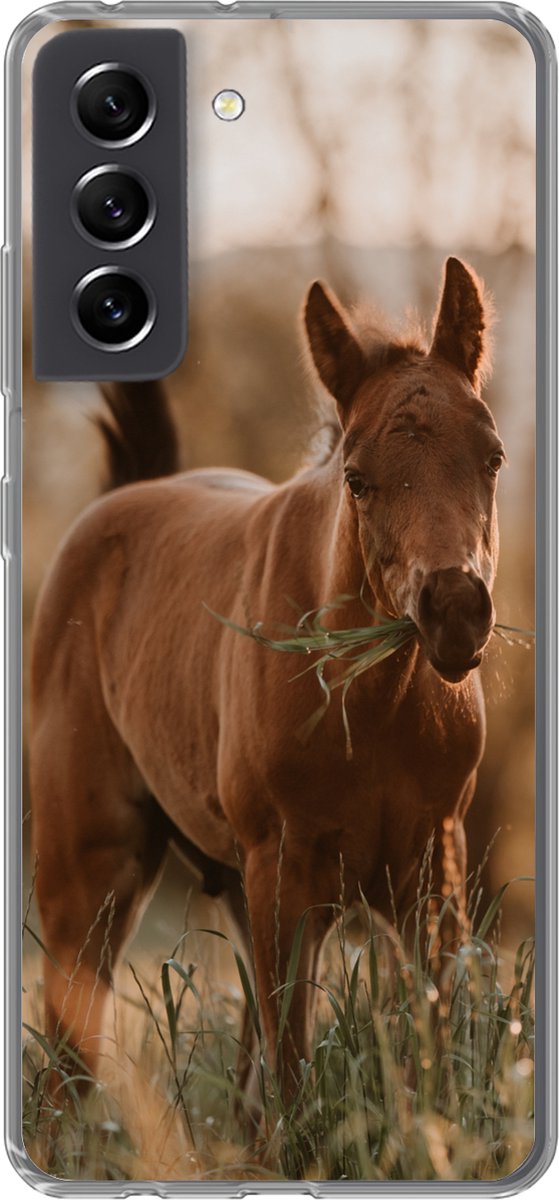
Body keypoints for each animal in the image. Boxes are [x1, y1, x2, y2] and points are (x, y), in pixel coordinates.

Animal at [31, 256, 503, 1107]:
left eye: (492, 457)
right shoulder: (286, 874)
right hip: (89, 876)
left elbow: (430, 1056)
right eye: (356, 479)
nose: (454, 611)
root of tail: (120, 499)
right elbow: (292, 1077)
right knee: (66, 1071)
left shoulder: (431, 876)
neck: (370, 711)